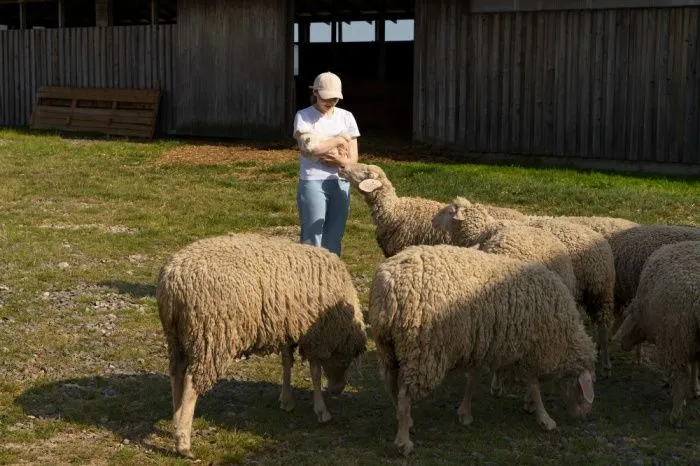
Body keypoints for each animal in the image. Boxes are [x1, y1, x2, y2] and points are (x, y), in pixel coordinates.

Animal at [157, 231, 370, 456]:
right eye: (345, 361)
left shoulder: (287, 327)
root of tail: (173, 283)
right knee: (191, 384)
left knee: (176, 374)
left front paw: (286, 400)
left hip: (177, 337)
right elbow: (315, 372)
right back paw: (183, 443)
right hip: (210, 336)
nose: (337, 390)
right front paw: (321, 410)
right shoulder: (315, 335)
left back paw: (176, 419)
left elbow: (286, 363)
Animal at [366, 244, 596, 456]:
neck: (563, 335)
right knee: (404, 395)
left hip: (389, 348)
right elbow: (534, 386)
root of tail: (386, 288)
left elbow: (472, 378)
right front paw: (545, 418)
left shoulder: (482, 344)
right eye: (582, 390)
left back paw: (405, 422)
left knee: (391, 386)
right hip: (422, 350)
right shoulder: (527, 350)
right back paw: (404, 441)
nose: (585, 417)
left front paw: (465, 413)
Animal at [434, 198, 616, 376]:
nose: (432, 221)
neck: (482, 230)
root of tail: (599, 253)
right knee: (602, 324)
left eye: (449, 211)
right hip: (600, 292)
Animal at [616, 240, 700, 426]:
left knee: (681, 374)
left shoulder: (676, 340)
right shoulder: (691, 343)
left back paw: (675, 416)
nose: (622, 344)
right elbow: (696, 366)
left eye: (626, 318)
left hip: (676, 337)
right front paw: (695, 389)